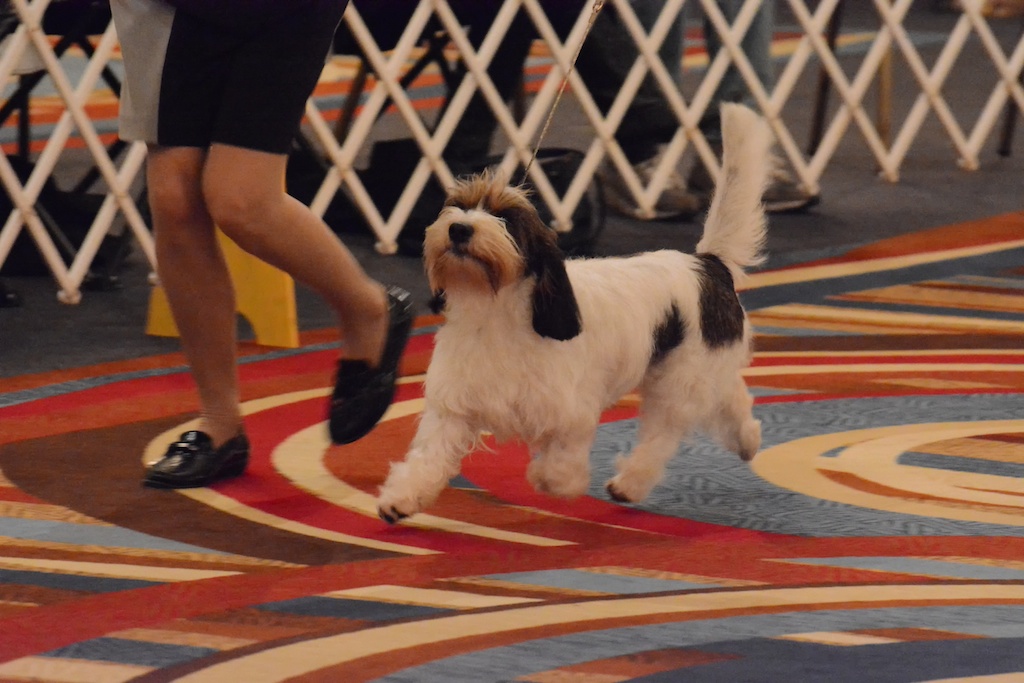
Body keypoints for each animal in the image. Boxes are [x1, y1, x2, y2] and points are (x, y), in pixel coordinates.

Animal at [380, 104, 770, 528]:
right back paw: (748, 440)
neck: (494, 312)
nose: (459, 229)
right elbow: (428, 457)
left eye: (507, 219)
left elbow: (559, 467)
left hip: (679, 382)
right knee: (731, 394)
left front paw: (552, 479)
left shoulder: (571, 414)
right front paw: (401, 499)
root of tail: (707, 263)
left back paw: (630, 483)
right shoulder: (453, 408)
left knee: (663, 435)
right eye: (458, 206)